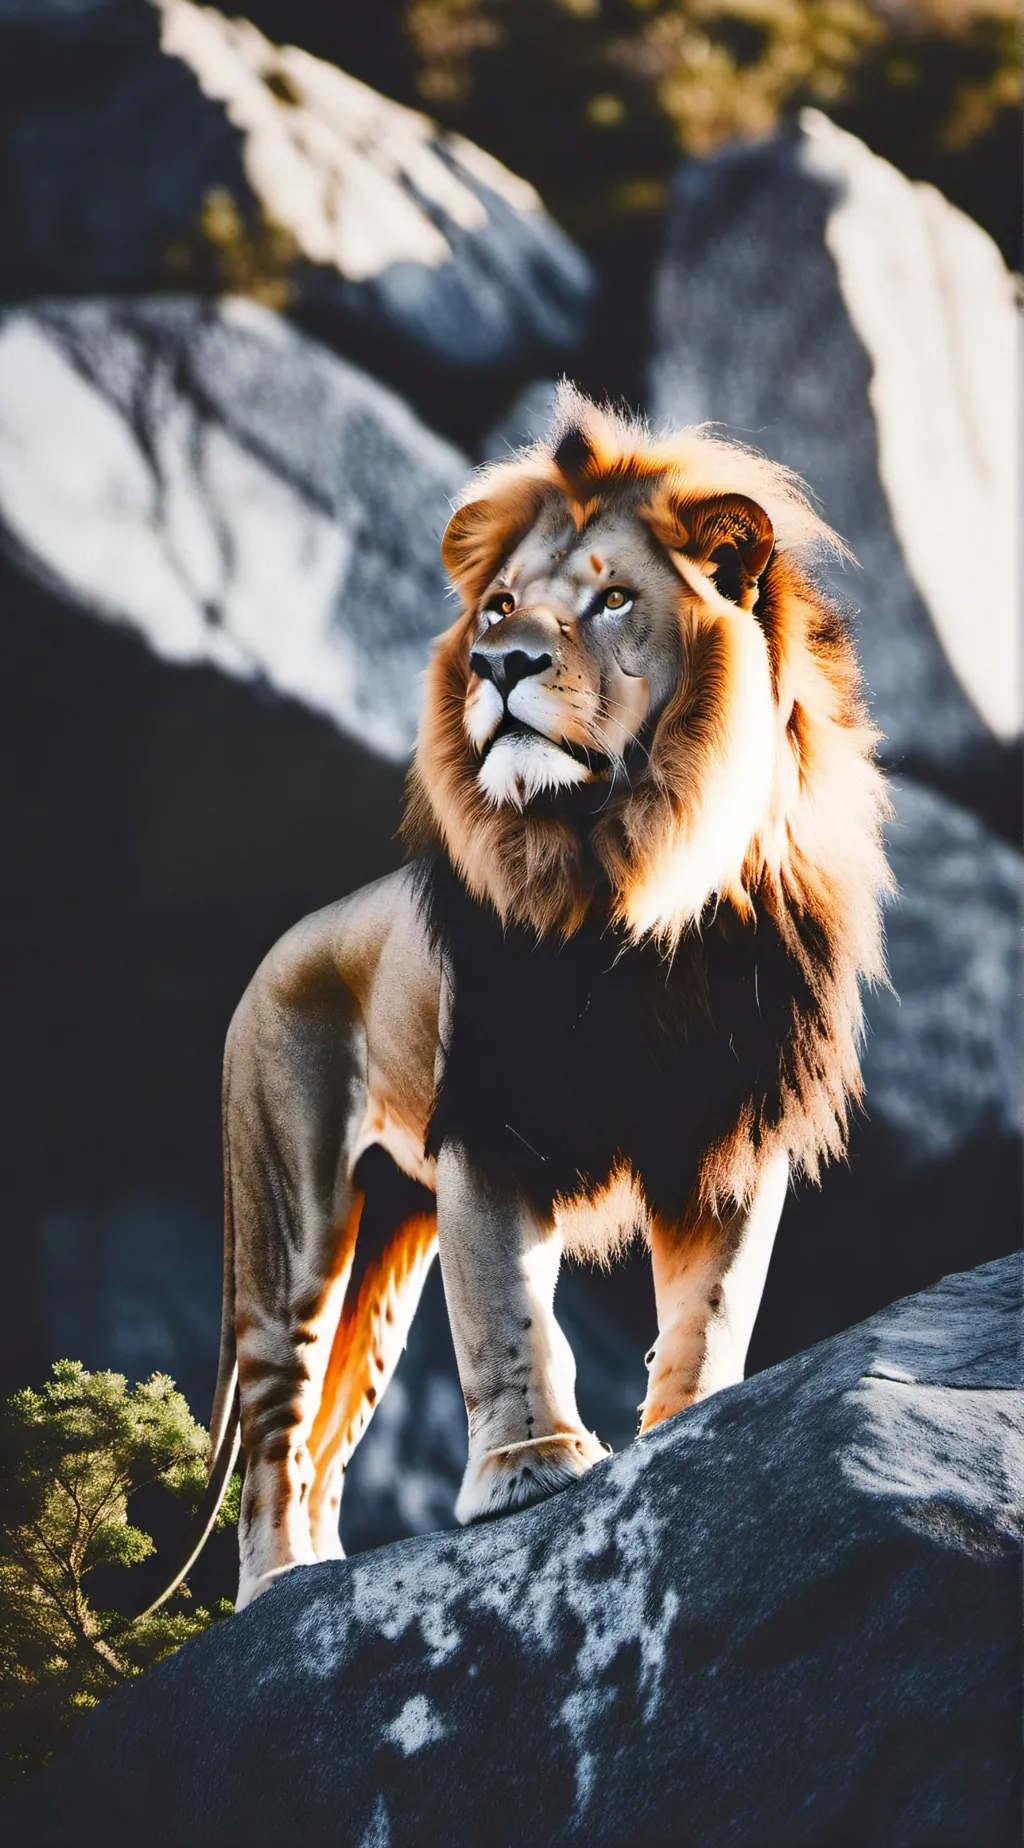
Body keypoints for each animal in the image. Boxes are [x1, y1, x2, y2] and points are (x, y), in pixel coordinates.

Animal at [157, 385, 890, 1613]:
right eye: (499, 606)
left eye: (612, 597)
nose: (499, 662)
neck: (632, 875)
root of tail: (275, 951)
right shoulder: (495, 1124)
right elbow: (507, 1314)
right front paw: (529, 1476)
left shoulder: (728, 1120)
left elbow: (712, 1304)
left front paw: (689, 1429)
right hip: (290, 1218)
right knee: (277, 1417)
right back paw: (277, 1591)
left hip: (389, 1244)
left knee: (332, 1433)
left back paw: (322, 1573)